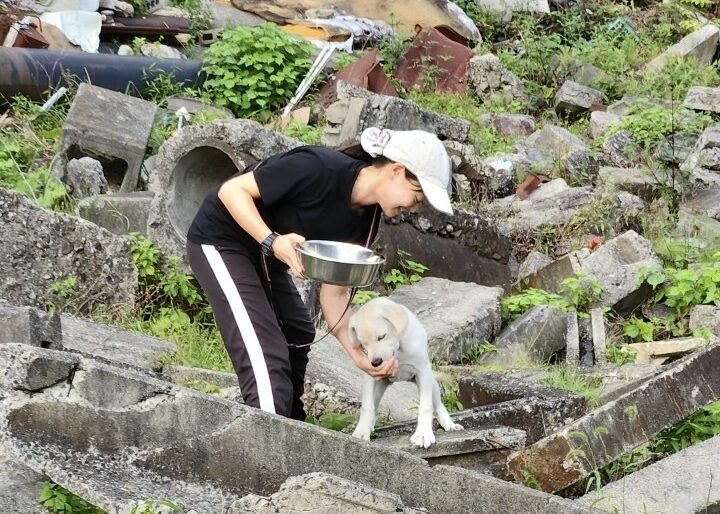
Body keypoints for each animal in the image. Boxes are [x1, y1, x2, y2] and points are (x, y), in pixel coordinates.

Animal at [348, 294, 462, 446]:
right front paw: (361, 433)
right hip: (379, 386)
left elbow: (426, 406)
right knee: (374, 404)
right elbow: (366, 406)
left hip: (432, 384)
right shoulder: (370, 376)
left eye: (381, 336)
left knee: (438, 405)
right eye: (363, 343)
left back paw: (449, 424)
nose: (376, 363)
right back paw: (369, 425)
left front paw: (423, 434)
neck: (398, 351)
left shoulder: (422, 371)